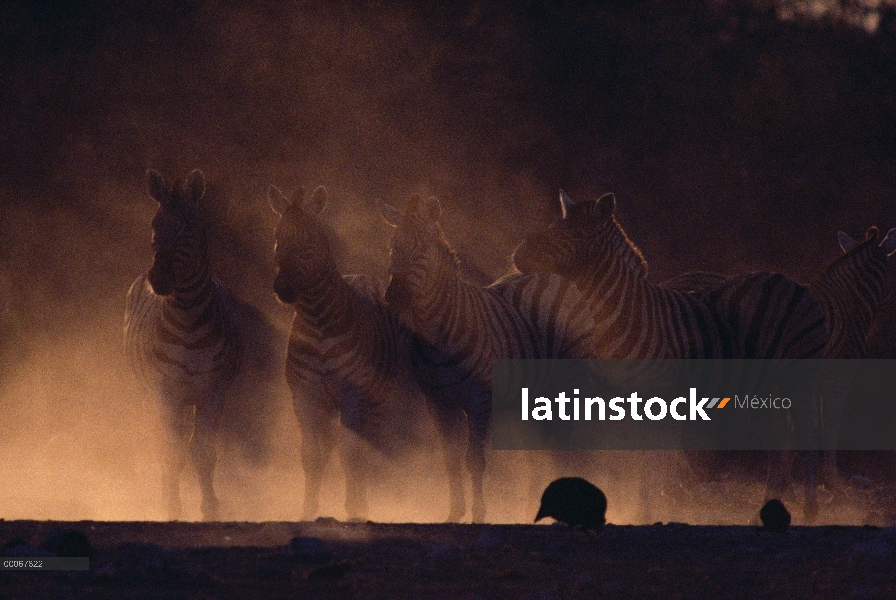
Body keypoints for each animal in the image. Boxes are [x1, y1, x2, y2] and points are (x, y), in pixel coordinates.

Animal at [125, 168, 245, 520]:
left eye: (189, 227)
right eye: (155, 225)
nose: (159, 279)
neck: (189, 318)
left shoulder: (213, 391)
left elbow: (203, 451)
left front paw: (211, 510)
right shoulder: (166, 391)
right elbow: (172, 452)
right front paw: (171, 507)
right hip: (151, 393)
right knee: (161, 443)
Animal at [268, 183, 426, 520]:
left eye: (310, 241)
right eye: (277, 236)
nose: (283, 289)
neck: (318, 323)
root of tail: (361, 276)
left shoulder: (353, 392)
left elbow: (351, 453)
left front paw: (354, 511)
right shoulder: (305, 393)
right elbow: (311, 454)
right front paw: (307, 511)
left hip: (377, 397)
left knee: (365, 446)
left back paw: (362, 506)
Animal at [378, 196, 596, 520]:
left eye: (422, 252)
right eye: (393, 248)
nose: (394, 298)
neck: (437, 336)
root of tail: (551, 274)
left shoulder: (479, 400)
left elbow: (474, 460)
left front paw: (478, 514)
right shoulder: (438, 403)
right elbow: (451, 461)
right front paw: (454, 513)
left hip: (573, 381)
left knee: (572, 446)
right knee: (540, 453)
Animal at [516, 190, 828, 524]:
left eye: (575, 233)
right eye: (554, 226)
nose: (518, 254)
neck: (615, 321)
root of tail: (790, 281)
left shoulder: (660, 397)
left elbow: (654, 463)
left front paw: (647, 511)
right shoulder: (617, 402)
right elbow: (627, 460)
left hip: (799, 377)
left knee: (807, 441)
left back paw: (811, 514)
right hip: (762, 388)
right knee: (781, 445)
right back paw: (761, 515)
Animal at [808, 227, 892, 486]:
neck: (850, 303)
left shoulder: (818, 380)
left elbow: (816, 425)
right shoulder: (838, 376)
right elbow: (831, 424)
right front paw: (830, 479)